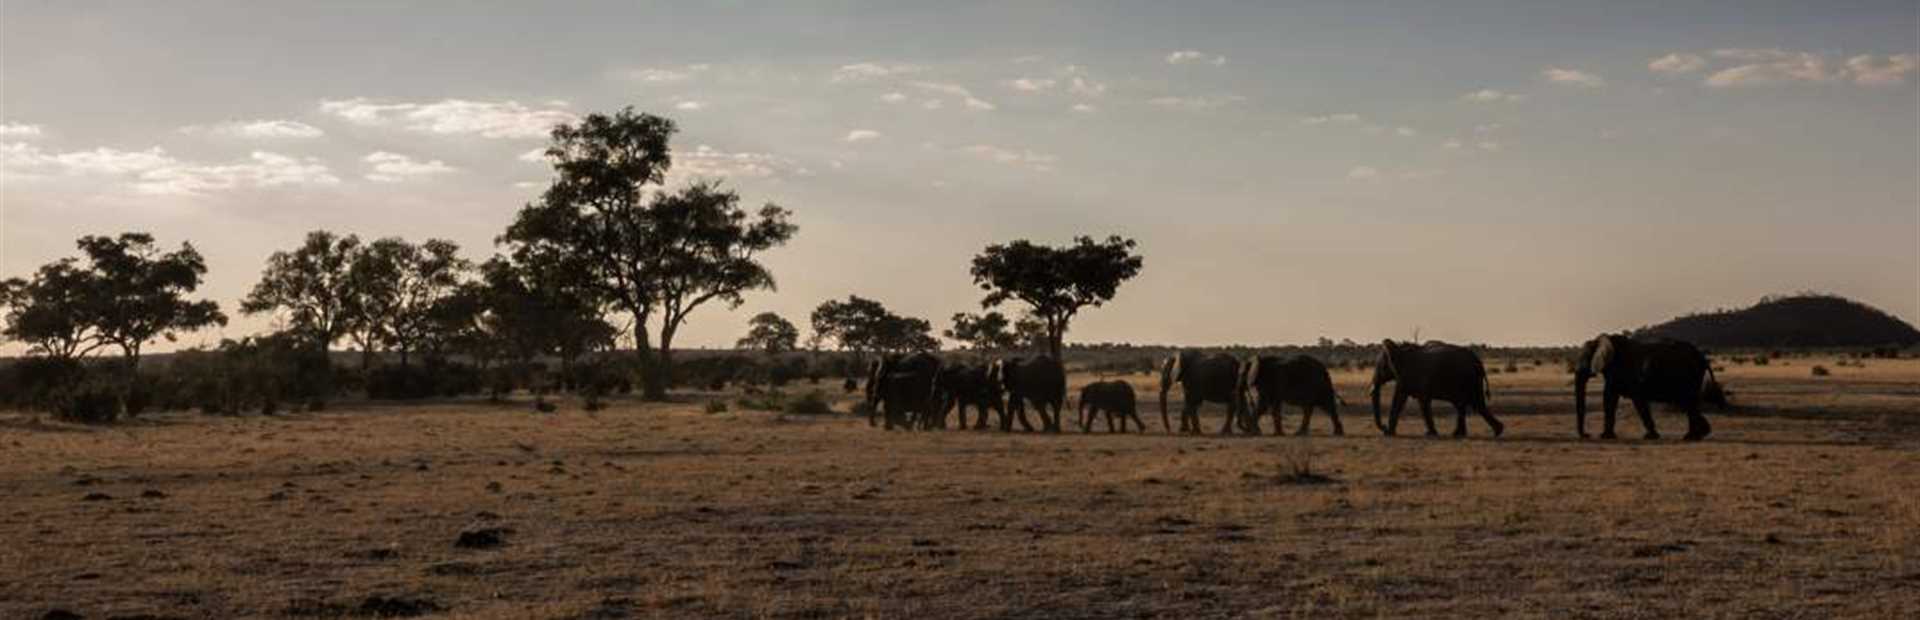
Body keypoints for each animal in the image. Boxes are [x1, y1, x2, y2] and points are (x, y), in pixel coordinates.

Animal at [1367, 341, 1497, 439]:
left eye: (1381, 367)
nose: (1383, 427)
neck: (1399, 349)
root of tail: (1477, 360)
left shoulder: (1413, 376)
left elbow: (1421, 402)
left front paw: (1430, 434)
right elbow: (1400, 400)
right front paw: (1390, 433)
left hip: (1467, 379)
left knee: (1474, 404)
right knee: (1471, 405)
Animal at [1574, 335, 1728, 441]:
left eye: (1584, 359)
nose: (1587, 435)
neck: (1600, 340)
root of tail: (1702, 357)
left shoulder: (1622, 371)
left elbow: (1623, 398)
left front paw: (1650, 436)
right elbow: (1611, 398)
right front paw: (1607, 436)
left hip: (1688, 374)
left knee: (1688, 402)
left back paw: (1694, 436)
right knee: (1688, 403)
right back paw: (1697, 435)